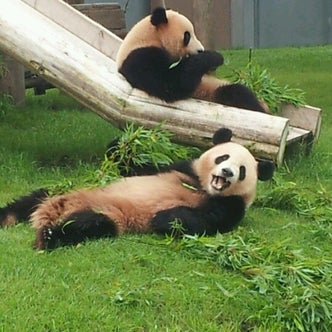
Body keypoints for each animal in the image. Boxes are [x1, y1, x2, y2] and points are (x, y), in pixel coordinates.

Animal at [0, 128, 274, 250]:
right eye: (222, 157)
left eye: (242, 170)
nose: (226, 172)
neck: (202, 186)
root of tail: (50, 212)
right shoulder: (182, 167)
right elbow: (137, 166)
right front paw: (124, 144)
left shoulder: (231, 205)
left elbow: (205, 222)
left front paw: (164, 217)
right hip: (61, 191)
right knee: (27, 201)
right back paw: (8, 218)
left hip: (107, 215)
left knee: (86, 225)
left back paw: (49, 236)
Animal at [117, 6, 268, 113]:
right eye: (187, 36)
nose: (200, 50)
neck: (150, 37)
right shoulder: (139, 57)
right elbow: (170, 83)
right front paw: (213, 57)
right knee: (235, 94)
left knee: (240, 93)